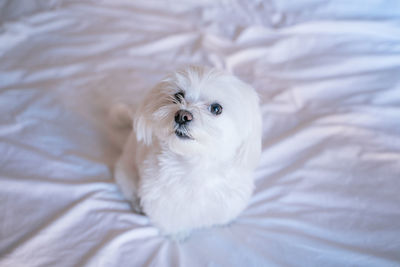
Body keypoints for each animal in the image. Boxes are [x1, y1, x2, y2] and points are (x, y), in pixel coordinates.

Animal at [113, 66, 262, 239]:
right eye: (178, 96)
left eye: (216, 109)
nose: (182, 116)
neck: (196, 164)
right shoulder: (162, 200)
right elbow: (170, 220)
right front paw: (177, 235)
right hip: (126, 172)